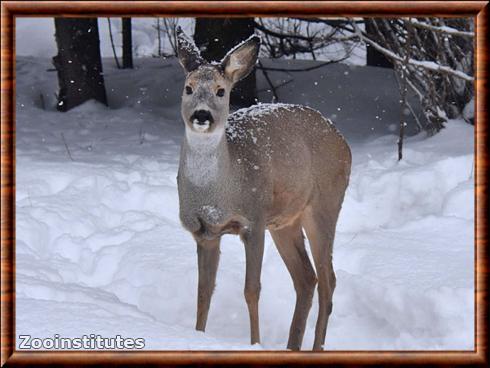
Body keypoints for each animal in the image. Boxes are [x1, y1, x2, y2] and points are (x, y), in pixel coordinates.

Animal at [174, 29, 350, 350]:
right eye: (188, 88)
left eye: (221, 91)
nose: (202, 116)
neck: (216, 194)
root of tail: (343, 141)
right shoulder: (204, 232)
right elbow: (204, 291)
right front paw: (197, 335)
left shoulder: (253, 221)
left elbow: (251, 290)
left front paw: (254, 344)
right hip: (284, 221)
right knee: (307, 278)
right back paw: (292, 346)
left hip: (325, 204)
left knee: (328, 280)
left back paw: (314, 348)